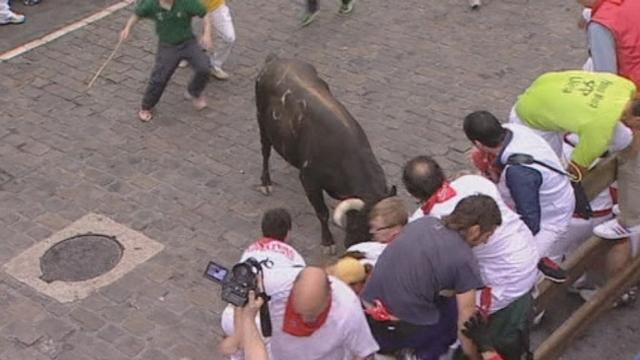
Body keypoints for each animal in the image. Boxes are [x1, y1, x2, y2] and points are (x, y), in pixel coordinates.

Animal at [255, 57, 396, 253]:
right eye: (364, 226)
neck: (345, 157)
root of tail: (275, 60)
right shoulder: (309, 180)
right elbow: (322, 212)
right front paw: (327, 242)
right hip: (262, 122)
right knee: (265, 151)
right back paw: (266, 183)